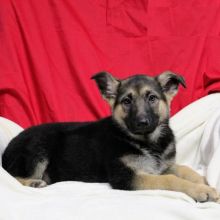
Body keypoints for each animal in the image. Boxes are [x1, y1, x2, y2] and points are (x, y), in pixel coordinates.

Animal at [1, 71, 218, 202]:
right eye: (127, 101)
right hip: (38, 148)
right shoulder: (127, 176)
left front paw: (202, 181)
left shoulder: (163, 165)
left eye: (152, 98)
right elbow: (170, 180)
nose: (142, 122)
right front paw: (201, 190)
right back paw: (34, 183)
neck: (146, 142)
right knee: (14, 178)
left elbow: (183, 168)